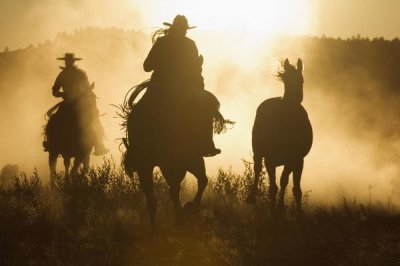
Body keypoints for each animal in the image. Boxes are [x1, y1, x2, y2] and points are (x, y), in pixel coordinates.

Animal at [250, 59, 312, 211]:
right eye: (286, 81)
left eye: (301, 80)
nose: (294, 99)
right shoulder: (270, 159)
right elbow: (273, 187)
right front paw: (274, 210)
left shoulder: (297, 159)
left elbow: (292, 186)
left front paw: (292, 210)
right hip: (258, 151)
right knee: (257, 169)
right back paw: (252, 197)